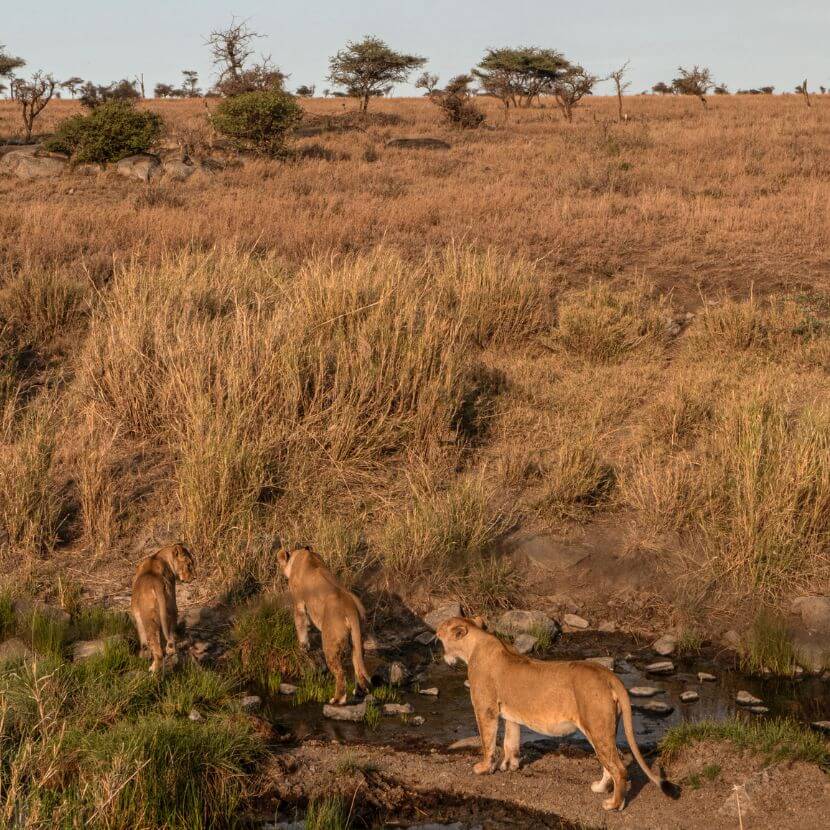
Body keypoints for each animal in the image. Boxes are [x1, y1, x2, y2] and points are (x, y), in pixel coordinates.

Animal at [130, 543, 195, 673]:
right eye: (189, 565)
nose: (194, 577)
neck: (159, 556)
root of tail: (156, 584)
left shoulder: (137, 617)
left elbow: (143, 641)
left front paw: (143, 656)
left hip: (148, 619)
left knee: (157, 650)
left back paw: (153, 670)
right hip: (171, 608)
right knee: (170, 640)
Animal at [276, 546, 371, 705]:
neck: (304, 554)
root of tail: (351, 608)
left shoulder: (299, 603)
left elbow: (301, 626)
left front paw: (303, 648)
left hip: (330, 642)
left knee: (340, 673)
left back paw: (337, 699)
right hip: (358, 638)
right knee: (358, 663)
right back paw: (359, 692)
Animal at [436, 616, 680, 811]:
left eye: (439, 637)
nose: (441, 656)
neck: (476, 644)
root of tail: (609, 675)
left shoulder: (485, 708)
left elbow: (488, 741)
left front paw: (483, 768)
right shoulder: (512, 714)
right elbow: (510, 741)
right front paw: (510, 766)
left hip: (597, 726)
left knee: (619, 769)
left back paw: (613, 805)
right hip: (601, 728)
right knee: (610, 762)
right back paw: (600, 788)